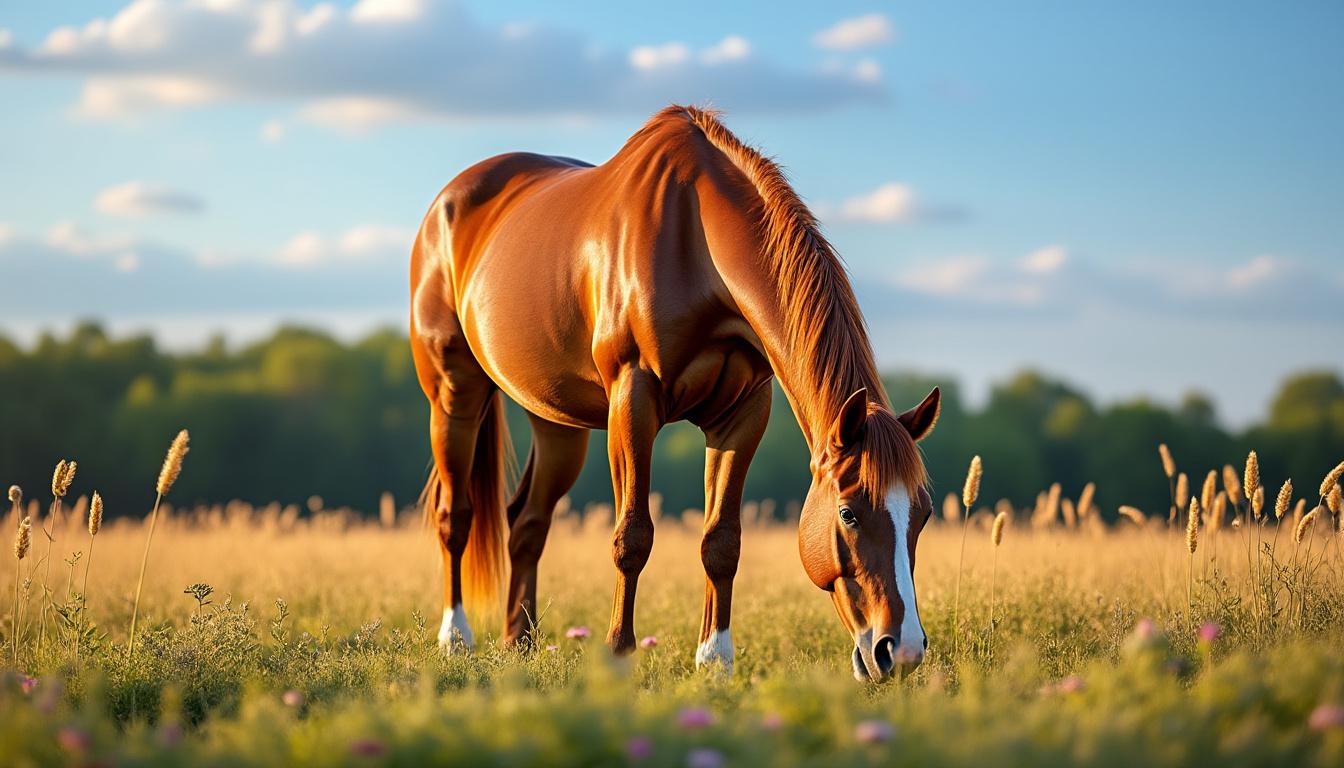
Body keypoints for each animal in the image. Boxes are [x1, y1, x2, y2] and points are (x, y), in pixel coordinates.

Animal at [410, 105, 941, 680]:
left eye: (923, 513)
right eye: (848, 512)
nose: (900, 651)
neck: (696, 239)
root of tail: (448, 203)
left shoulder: (742, 414)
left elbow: (722, 541)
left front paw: (715, 659)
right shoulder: (633, 398)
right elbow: (632, 535)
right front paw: (619, 654)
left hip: (556, 422)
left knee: (526, 522)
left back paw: (520, 641)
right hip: (454, 397)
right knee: (456, 515)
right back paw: (456, 637)